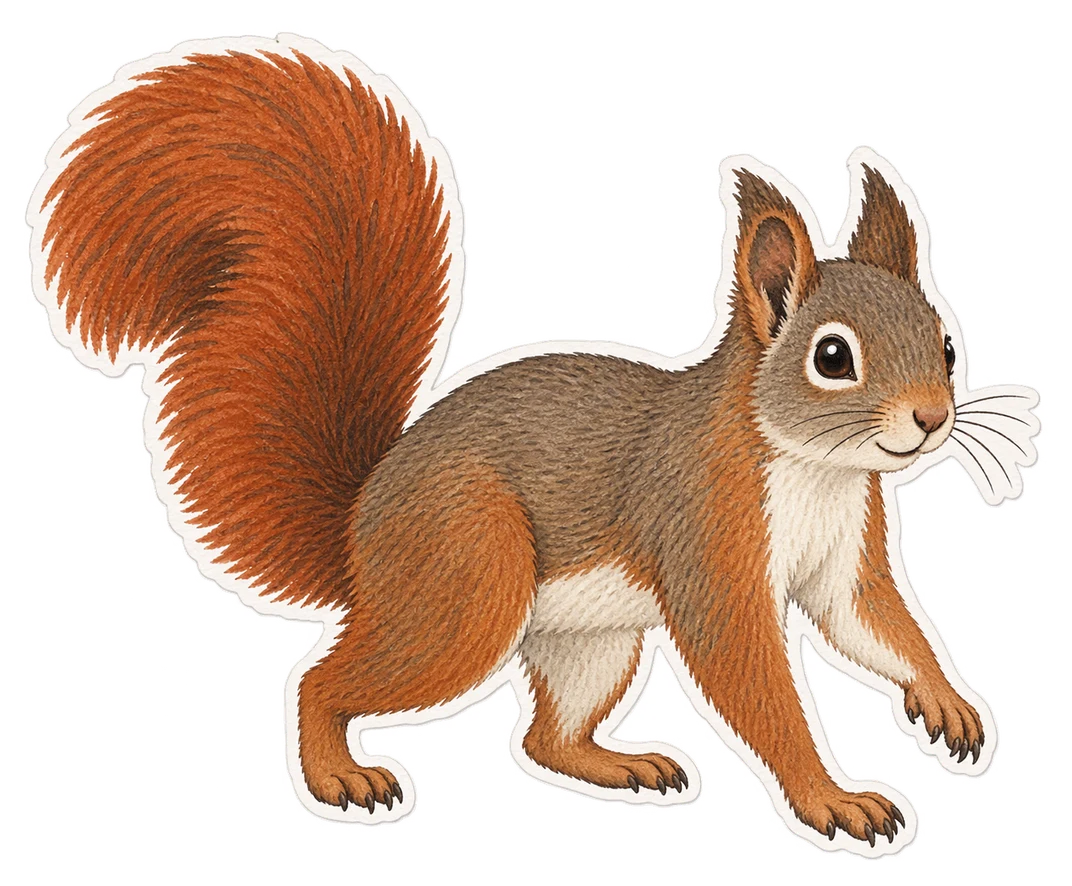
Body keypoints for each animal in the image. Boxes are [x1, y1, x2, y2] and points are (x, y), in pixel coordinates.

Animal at [35, 45, 1023, 847]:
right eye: (832, 358)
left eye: (945, 343)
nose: (930, 419)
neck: (815, 469)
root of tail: (361, 532)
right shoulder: (707, 536)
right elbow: (754, 680)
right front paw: (831, 796)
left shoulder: (844, 555)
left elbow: (874, 622)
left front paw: (947, 700)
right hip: (466, 582)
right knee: (325, 682)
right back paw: (340, 775)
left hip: (592, 643)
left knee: (544, 737)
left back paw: (623, 764)